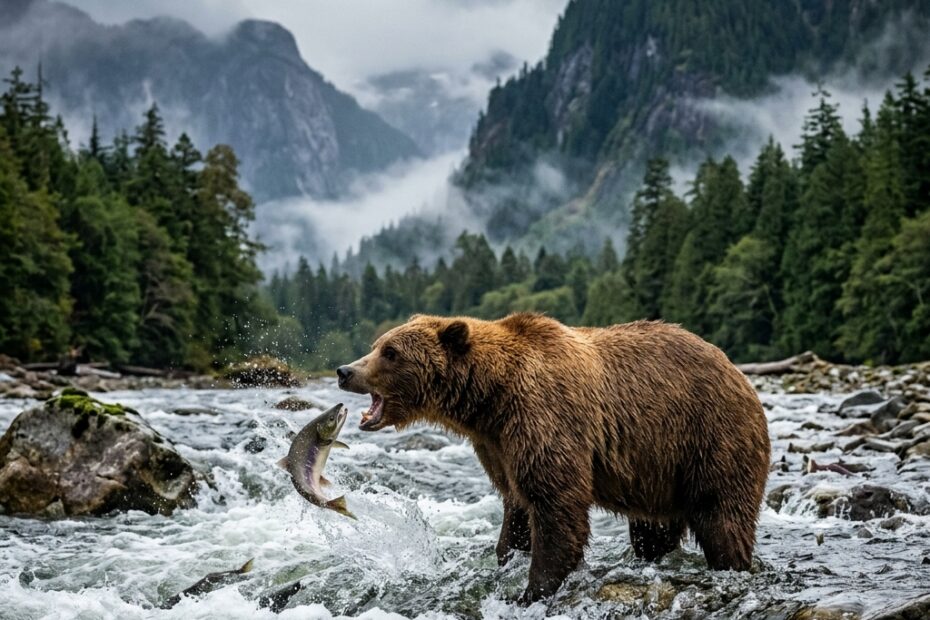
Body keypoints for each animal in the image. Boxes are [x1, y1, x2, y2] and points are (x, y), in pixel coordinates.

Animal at [337, 313, 770, 603]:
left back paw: (731, 563)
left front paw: (533, 589)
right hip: (658, 470)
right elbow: (516, 506)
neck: (489, 399)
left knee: (722, 516)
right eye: (377, 345)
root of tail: (737, 372)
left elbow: (555, 502)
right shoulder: (498, 446)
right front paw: (507, 557)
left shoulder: (544, 416)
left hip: (709, 439)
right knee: (653, 532)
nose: (344, 370)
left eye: (390, 352)